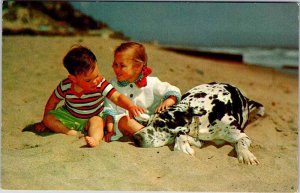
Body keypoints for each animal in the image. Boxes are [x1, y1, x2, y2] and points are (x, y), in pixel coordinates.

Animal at [134, 82, 264, 165]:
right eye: (148, 124)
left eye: (161, 124)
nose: (136, 138)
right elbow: (183, 135)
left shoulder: (242, 136)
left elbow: (240, 143)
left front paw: (246, 155)